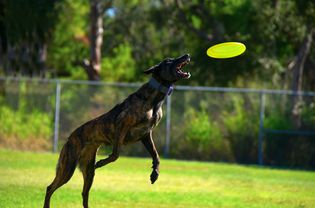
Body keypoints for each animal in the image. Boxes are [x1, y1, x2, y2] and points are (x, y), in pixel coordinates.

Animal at [43, 54, 193, 208]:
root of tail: (70, 138)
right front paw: (102, 162)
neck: (154, 100)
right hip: (67, 168)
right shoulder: (121, 125)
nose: (187, 55)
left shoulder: (146, 135)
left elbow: (156, 155)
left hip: (88, 172)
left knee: (84, 194)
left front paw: (155, 174)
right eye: (168, 61)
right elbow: (115, 154)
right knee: (50, 188)